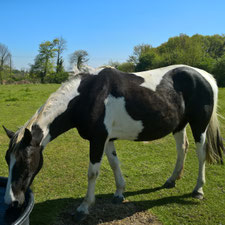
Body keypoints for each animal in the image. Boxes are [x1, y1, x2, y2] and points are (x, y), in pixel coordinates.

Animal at [2, 64, 224, 221]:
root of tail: (206, 76)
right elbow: (114, 163)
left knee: (201, 154)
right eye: (8, 160)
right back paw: (171, 180)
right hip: (178, 125)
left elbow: (93, 173)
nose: (11, 201)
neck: (87, 95)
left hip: (199, 126)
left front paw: (84, 208)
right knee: (182, 148)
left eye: (24, 162)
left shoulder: (98, 140)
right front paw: (119, 193)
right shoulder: (107, 139)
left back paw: (198, 190)